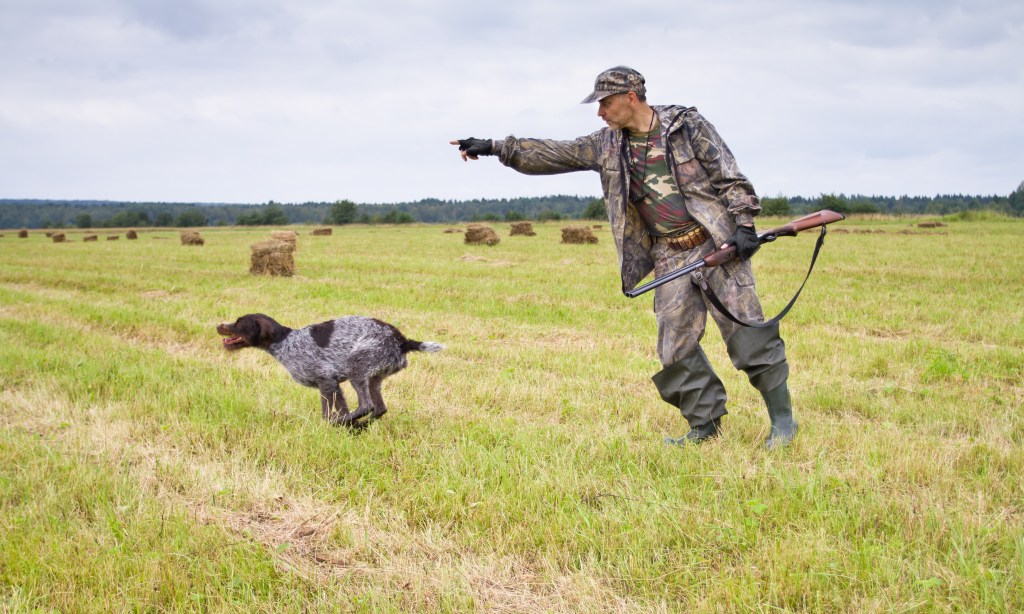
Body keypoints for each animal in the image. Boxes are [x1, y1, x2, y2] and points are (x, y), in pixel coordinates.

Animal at [218, 311, 442, 427]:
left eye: (239, 322)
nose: (218, 325)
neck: (284, 342)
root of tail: (401, 340)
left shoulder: (325, 381)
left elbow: (326, 413)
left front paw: (330, 425)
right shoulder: (334, 385)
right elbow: (341, 406)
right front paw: (346, 427)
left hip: (356, 367)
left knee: (366, 406)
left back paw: (345, 423)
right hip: (373, 378)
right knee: (379, 409)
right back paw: (357, 425)